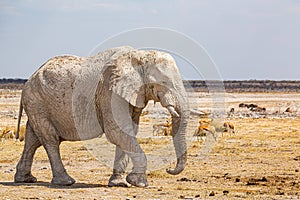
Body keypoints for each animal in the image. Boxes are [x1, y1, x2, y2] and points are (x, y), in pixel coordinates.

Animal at [14, 45, 189, 188]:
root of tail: (29, 79)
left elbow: (129, 131)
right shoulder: (109, 92)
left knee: (33, 139)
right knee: (50, 139)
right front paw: (139, 183)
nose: (169, 169)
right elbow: (117, 131)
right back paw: (66, 182)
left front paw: (118, 183)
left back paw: (25, 179)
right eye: (164, 81)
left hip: (37, 104)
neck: (139, 56)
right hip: (37, 101)